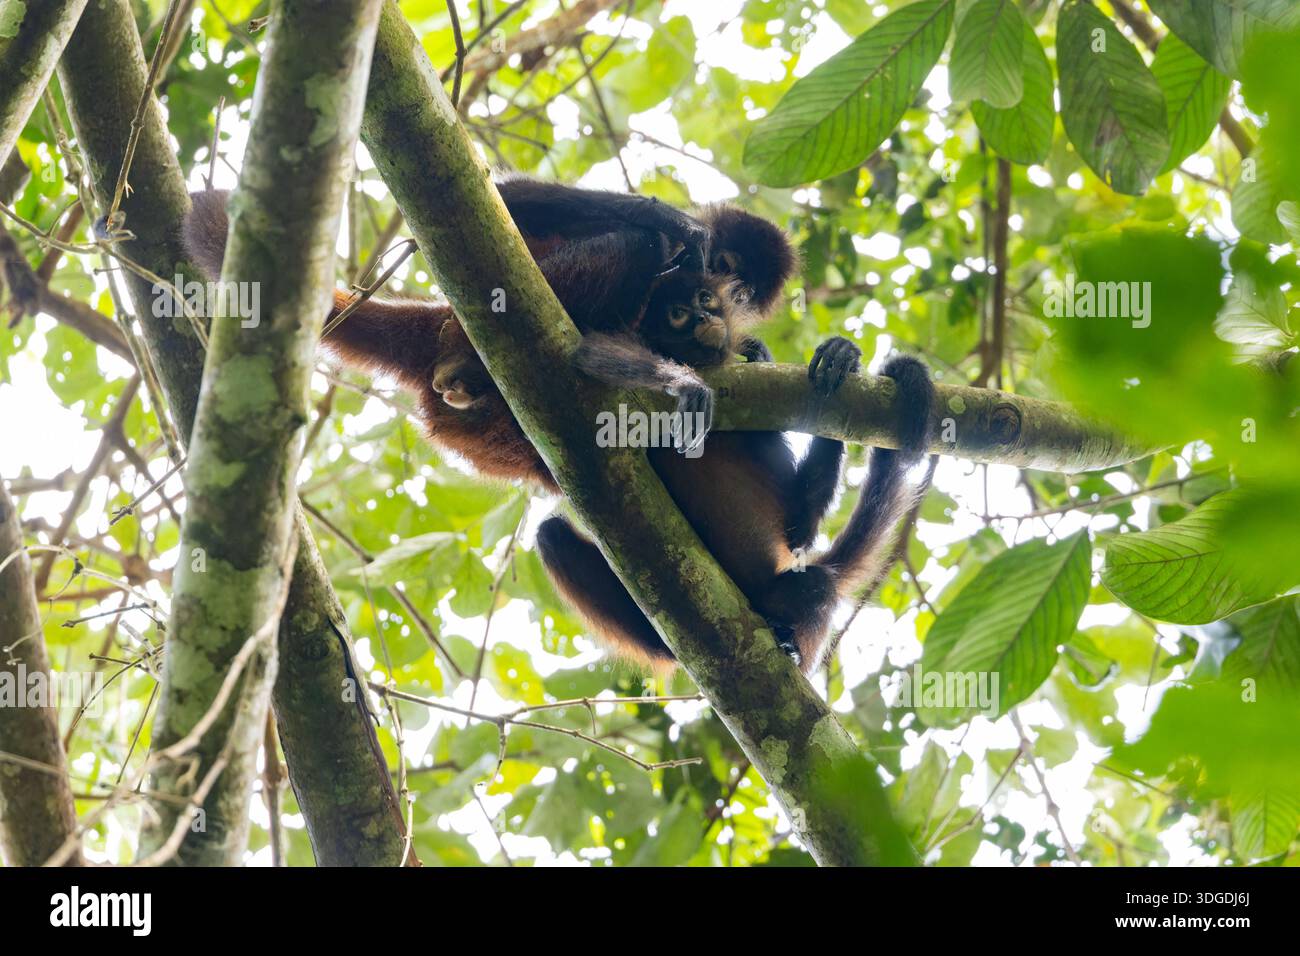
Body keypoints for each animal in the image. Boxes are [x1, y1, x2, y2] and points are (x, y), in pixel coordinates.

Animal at [182, 179, 932, 672]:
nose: (714, 306)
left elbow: (800, 523)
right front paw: (669, 236)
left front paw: (830, 359)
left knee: (809, 581)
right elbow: (515, 200)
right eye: (716, 273)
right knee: (622, 251)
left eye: (742, 290)